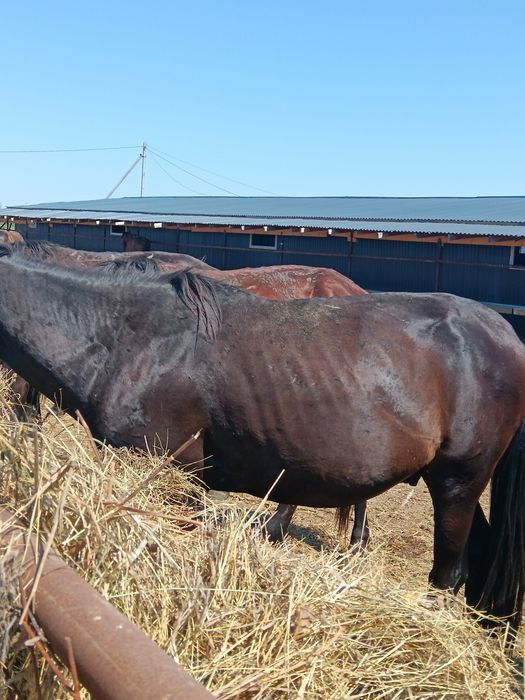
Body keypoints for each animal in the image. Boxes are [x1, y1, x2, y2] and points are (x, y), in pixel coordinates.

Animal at [1, 246, 524, 633]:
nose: (23, 415)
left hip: (458, 482)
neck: (131, 340)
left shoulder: (173, 476)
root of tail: (505, 334)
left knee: (447, 574)